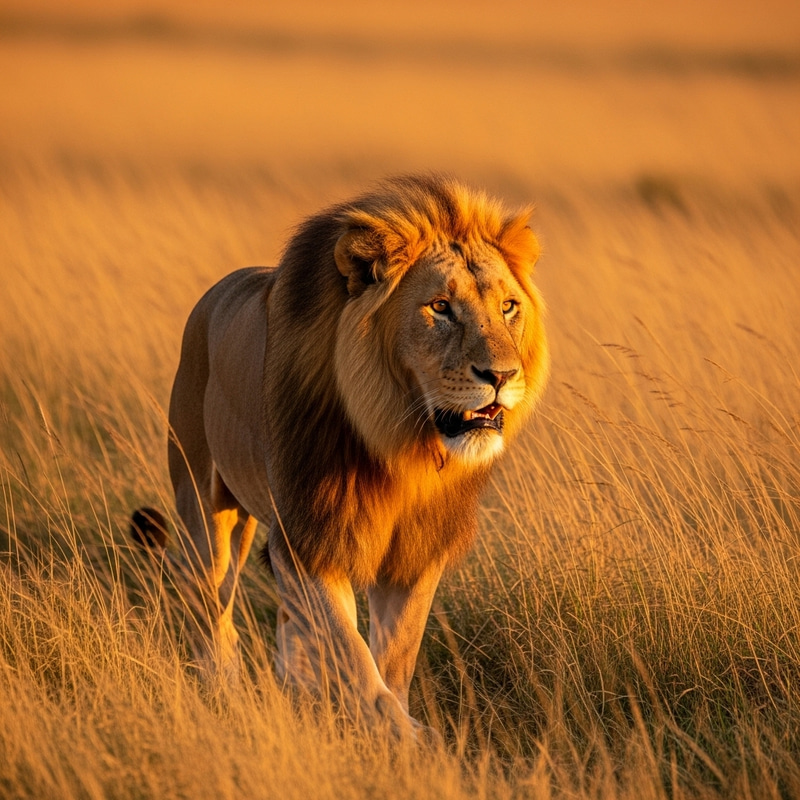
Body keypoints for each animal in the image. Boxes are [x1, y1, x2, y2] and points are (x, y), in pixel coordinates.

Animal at [132, 174, 549, 739]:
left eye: (508, 307)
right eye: (440, 307)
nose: (502, 376)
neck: (402, 443)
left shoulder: (415, 555)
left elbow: (394, 657)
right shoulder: (308, 540)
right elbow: (352, 653)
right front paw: (406, 737)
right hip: (203, 504)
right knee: (211, 605)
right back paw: (225, 688)